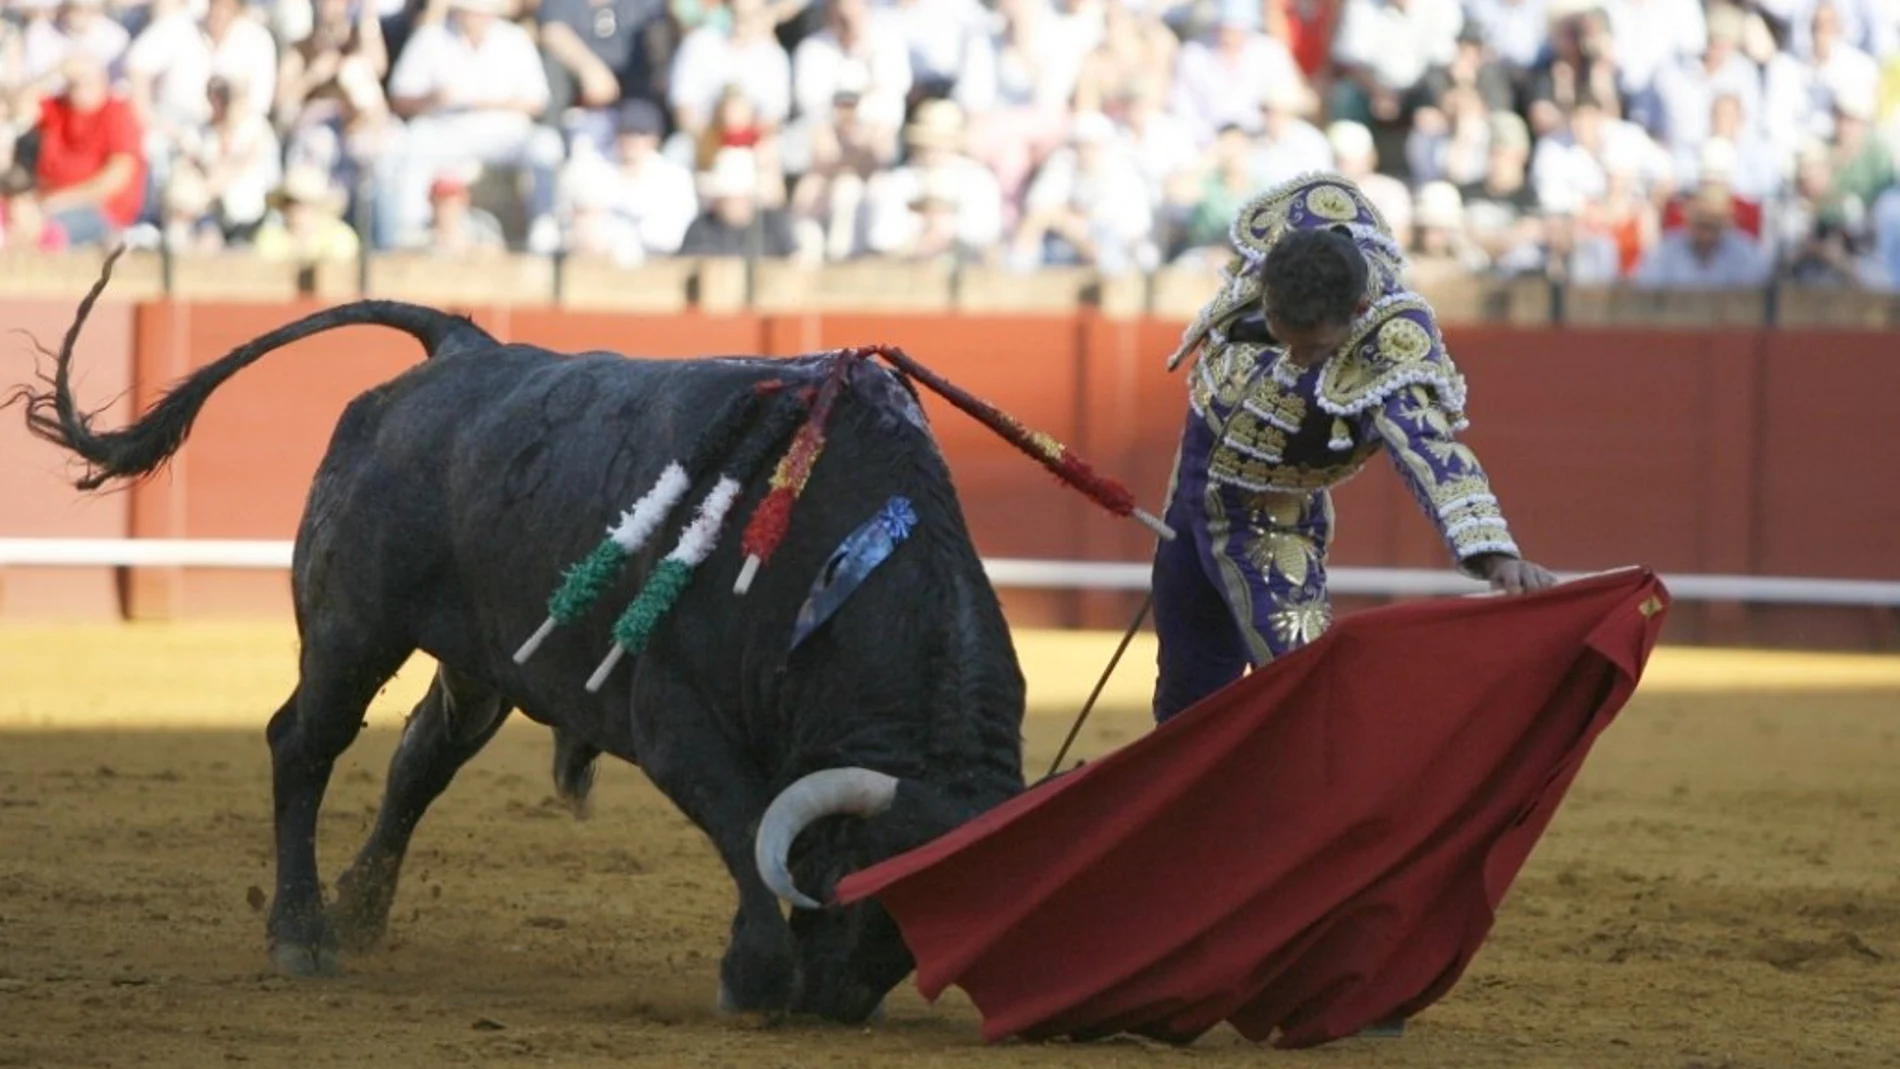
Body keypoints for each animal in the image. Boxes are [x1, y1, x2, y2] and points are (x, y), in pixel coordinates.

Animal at [11, 254, 1026, 1025]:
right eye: (867, 880)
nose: (834, 1002)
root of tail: (466, 346)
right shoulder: (675, 722)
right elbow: (745, 828)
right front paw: (753, 979)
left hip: (479, 661)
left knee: (421, 758)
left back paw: (361, 912)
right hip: (351, 628)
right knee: (304, 741)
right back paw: (302, 932)